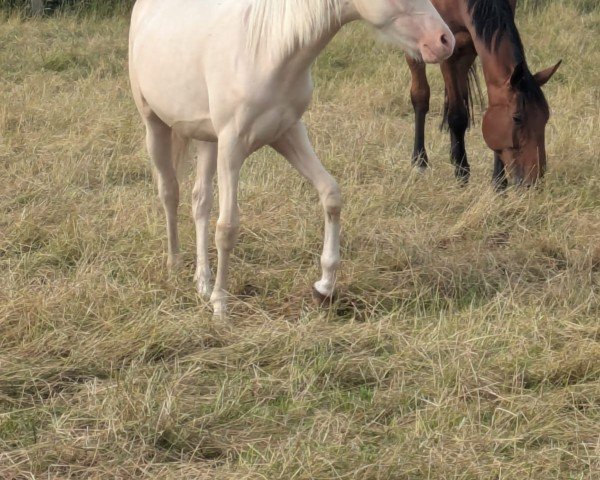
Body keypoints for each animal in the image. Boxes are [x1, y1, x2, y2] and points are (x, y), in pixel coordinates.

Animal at [127, 0, 454, 316]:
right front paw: (220, 306)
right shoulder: (232, 145)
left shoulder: (288, 133)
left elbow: (330, 194)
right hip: (155, 125)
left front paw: (324, 286)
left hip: (207, 140)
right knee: (170, 193)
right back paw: (175, 267)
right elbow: (227, 227)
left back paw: (202, 281)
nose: (444, 41)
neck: (269, 50)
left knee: (200, 201)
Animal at [408, 0, 564, 188]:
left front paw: (499, 182)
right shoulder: (444, 45)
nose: (533, 181)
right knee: (421, 96)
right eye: (517, 118)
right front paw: (462, 173)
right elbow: (457, 116)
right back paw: (420, 161)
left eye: (545, 117)